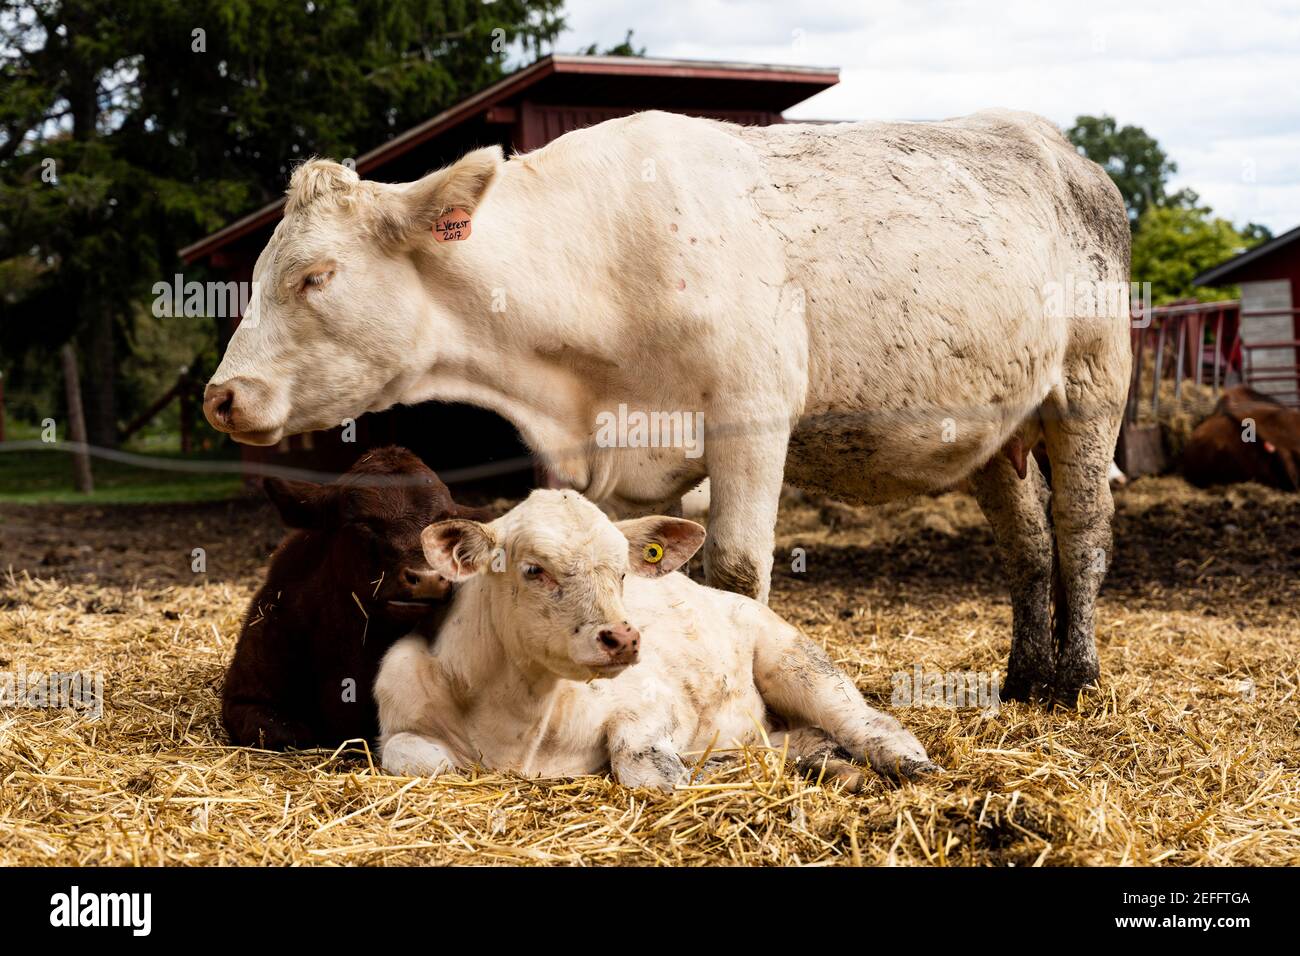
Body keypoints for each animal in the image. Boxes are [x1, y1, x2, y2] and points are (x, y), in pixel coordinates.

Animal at [203, 109, 1132, 705]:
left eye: (314, 276)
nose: (221, 395)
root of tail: (1065, 152)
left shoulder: (750, 416)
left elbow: (735, 571)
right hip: (996, 431)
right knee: (1027, 546)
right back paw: (1024, 678)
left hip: (1090, 390)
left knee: (1081, 535)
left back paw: (1076, 680)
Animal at [375, 488, 936, 790]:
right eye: (534, 570)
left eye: (622, 572)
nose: (623, 637)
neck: (519, 723)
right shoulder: (400, 716)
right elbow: (415, 758)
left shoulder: (654, 700)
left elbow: (644, 763)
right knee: (800, 739)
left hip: (794, 658)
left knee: (867, 722)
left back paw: (908, 763)